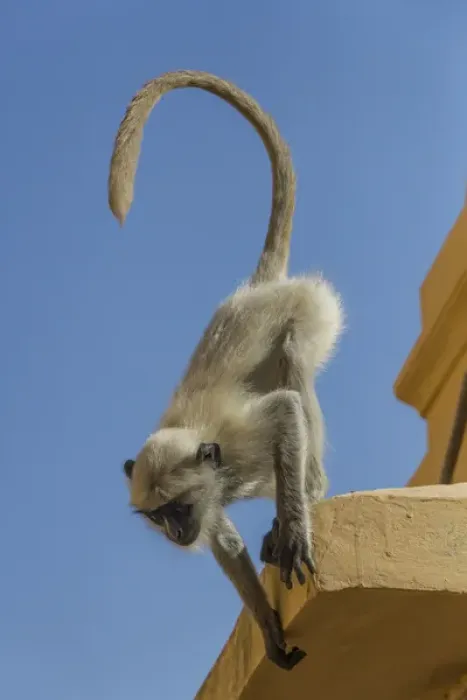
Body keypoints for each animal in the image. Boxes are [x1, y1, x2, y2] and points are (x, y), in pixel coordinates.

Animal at [109, 70, 343, 671]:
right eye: (157, 516)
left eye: (176, 508)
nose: (174, 532)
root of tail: (256, 290)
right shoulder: (212, 491)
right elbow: (223, 540)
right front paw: (268, 628)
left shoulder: (237, 443)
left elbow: (285, 409)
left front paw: (296, 524)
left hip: (312, 308)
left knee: (294, 361)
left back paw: (308, 494)